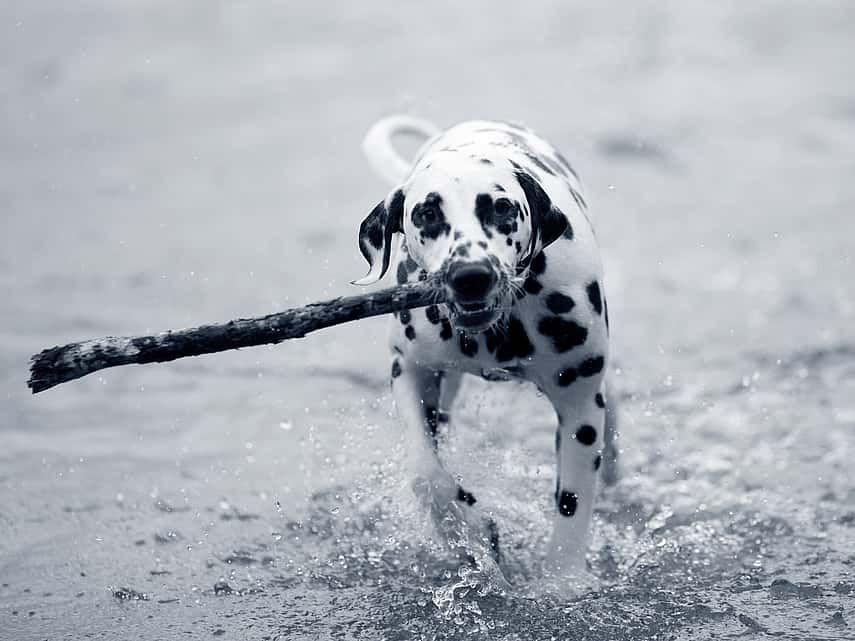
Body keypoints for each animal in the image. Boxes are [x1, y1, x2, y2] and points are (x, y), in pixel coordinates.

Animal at [356, 114, 620, 584]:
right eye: (426, 213)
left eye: (501, 208)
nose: (471, 275)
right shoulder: (410, 369)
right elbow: (426, 475)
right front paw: (471, 532)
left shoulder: (580, 406)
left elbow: (572, 506)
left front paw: (561, 583)